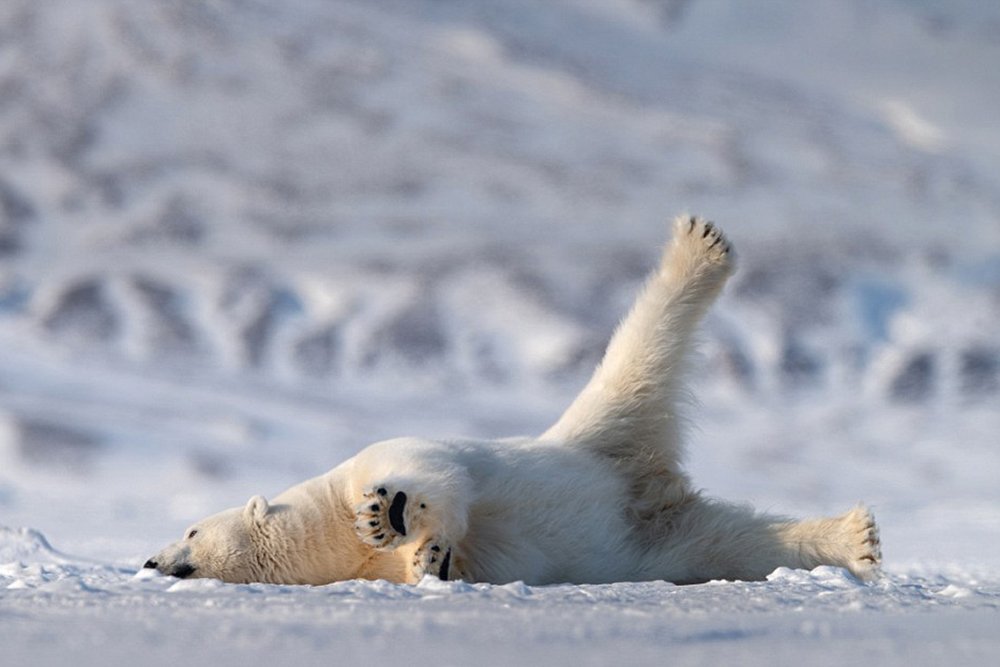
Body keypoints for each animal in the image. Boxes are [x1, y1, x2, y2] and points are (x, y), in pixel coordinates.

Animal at [143, 216, 881, 586]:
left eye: (191, 530)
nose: (151, 561)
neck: (326, 533)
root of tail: (643, 484)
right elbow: (440, 564)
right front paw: (428, 559)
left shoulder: (377, 456)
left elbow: (434, 477)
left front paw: (391, 514)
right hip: (652, 530)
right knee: (731, 543)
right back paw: (855, 538)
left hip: (599, 425)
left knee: (639, 350)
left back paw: (698, 247)